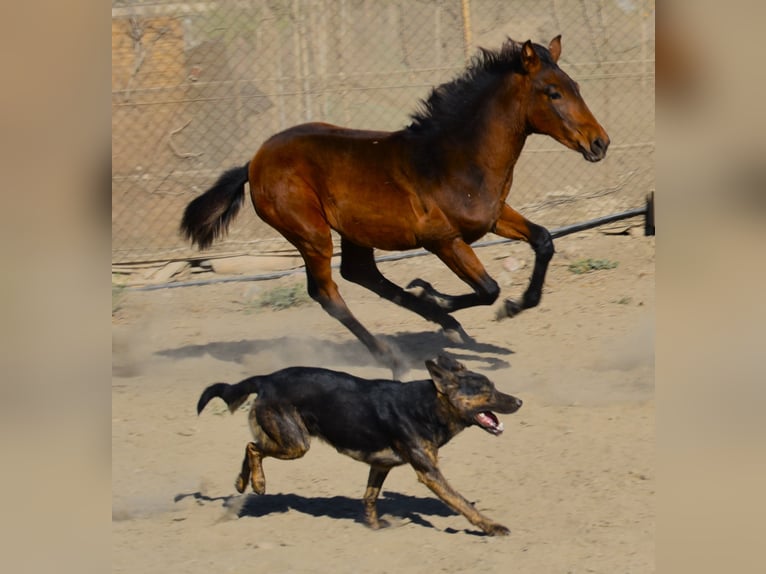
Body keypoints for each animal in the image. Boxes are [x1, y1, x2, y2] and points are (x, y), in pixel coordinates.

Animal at [182, 36, 612, 378]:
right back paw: (394, 355)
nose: (600, 143)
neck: (456, 159)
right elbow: (488, 288)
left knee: (360, 274)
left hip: (355, 232)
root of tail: (253, 163)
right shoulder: (443, 239)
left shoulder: (493, 218)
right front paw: (438, 295)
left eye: (575, 86)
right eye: (553, 92)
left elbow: (544, 241)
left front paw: (514, 305)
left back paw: (443, 325)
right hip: (310, 233)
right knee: (327, 291)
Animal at [195, 354, 524, 536]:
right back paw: (259, 483)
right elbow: (460, 502)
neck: (428, 406)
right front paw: (492, 527)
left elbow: (369, 497)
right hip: (297, 443)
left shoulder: (380, 465)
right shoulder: (429, 473)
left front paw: (375, 527)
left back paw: (241, 483)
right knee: (253, 447)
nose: (519, 402)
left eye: (494, 386)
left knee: (251, 445)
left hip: (288, 438)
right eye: (486, 391)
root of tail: (266, 378)